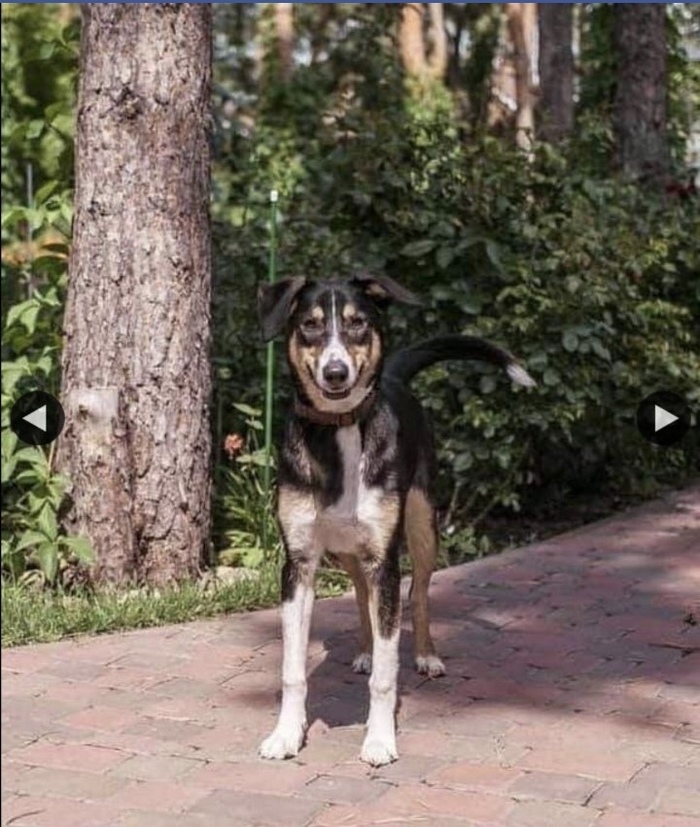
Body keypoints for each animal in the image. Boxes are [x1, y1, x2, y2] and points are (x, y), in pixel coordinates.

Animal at [258, 274, 536, 768]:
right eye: (309, 325)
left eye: (358, 324)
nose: (335, 373)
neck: (339, 432)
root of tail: (393, 377)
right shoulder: (298, 565)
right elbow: (292, 669)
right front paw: (286, 735)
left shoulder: (385, 560)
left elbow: (387, 676)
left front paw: (379, 740)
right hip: (349, 552)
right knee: (360, 594)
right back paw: (366, 650)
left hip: (422, 527)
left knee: (418, 593)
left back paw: (426, 656)